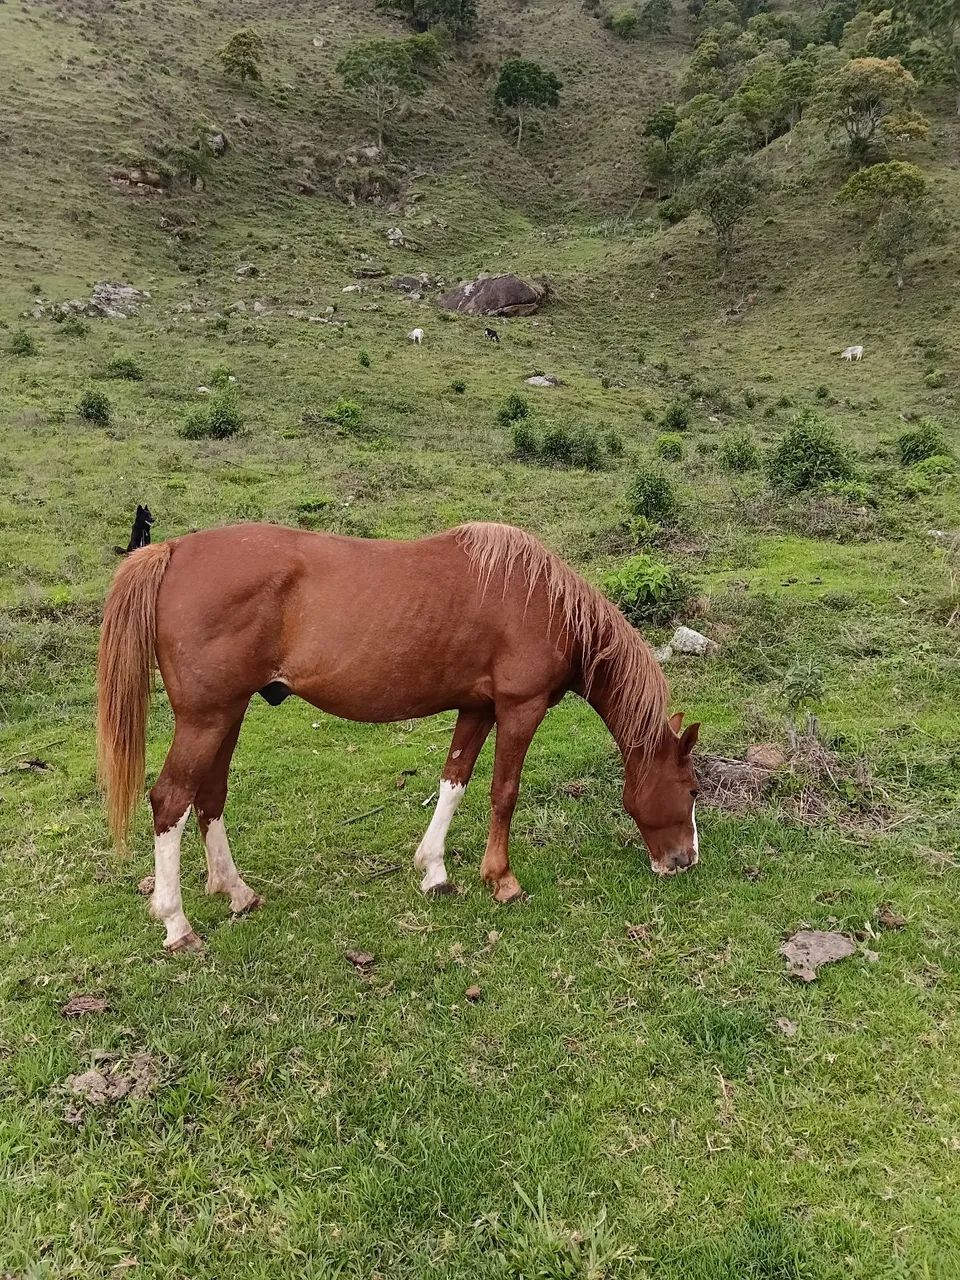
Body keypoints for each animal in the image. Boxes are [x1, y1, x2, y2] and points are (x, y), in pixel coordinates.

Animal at [97, 522, 701, 952]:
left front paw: (434, 871)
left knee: (210, 797)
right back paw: (177, 924)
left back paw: (237, 893)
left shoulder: (477, 708)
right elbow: (503, 792)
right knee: (170, 801)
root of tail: (171, 551)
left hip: (228, 715)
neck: (542, 601)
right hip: (207, 718)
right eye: (693, 790)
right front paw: (502, 880)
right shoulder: (519, 709)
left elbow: (454, 782)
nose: (686, 860)